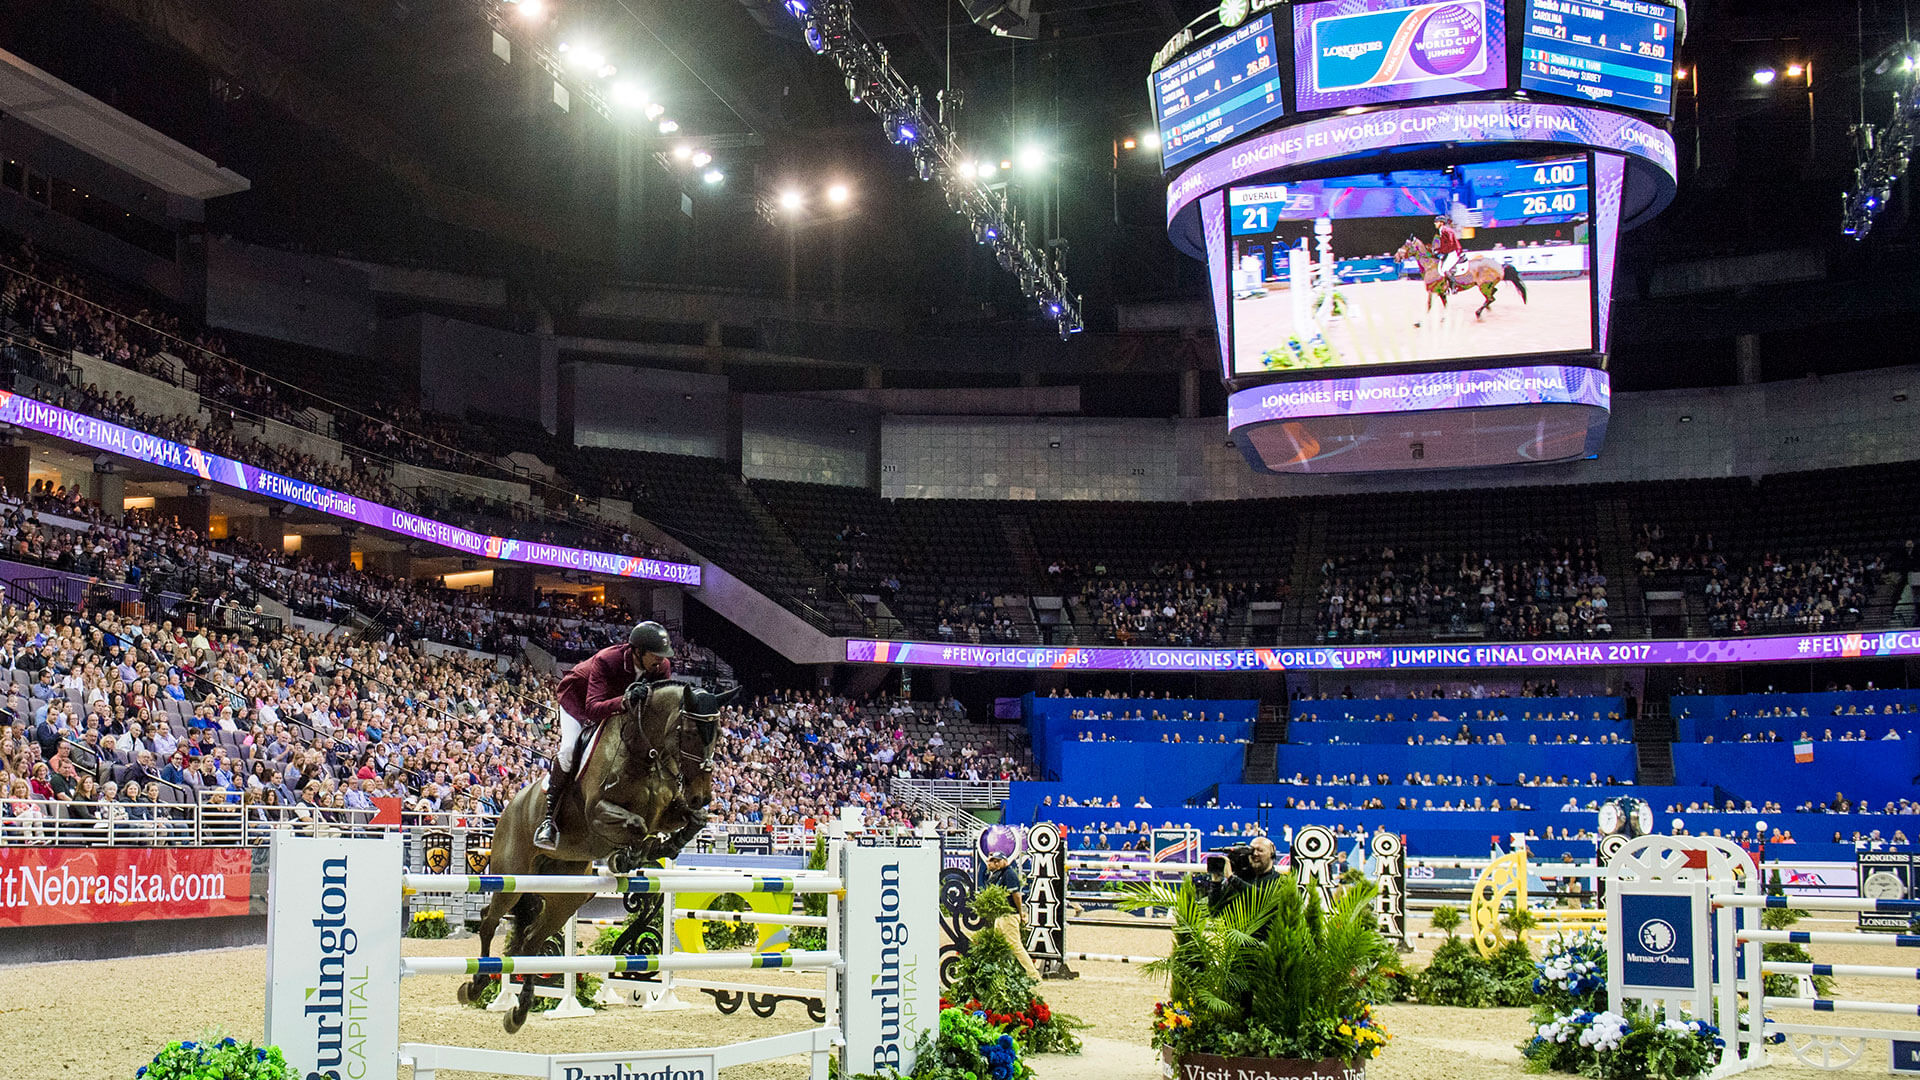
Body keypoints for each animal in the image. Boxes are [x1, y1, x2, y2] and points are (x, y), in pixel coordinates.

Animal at [1397, 235, 1528, 319]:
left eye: (1405, 245)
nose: (1395, 257)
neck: (1430, 266)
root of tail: (1500, 266)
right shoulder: (1441, 292)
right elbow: (1444, 305)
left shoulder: (1432, 290)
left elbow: (1429, 305)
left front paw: (1419, 322)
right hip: (1486, 285)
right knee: (1492, 294)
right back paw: (1486, 309)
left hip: (1484, 286)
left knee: (1491, 298)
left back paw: (1478, 313)